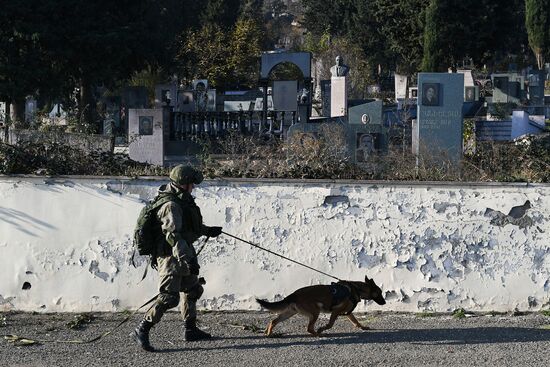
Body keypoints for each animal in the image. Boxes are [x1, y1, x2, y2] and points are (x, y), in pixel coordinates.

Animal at [256, 278, 386, 338]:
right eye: (380, 292)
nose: (384, 302)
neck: (356, 289)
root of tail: (294, 294)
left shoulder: (348, 312)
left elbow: (355, 321)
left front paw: (363, 327)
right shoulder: (336, 312)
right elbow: (330, 324)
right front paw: (322, 329)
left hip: (289, 313)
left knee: (273, 321)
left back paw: (268, 333)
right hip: (315, 312)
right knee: (309, 328)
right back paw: (318, 334)